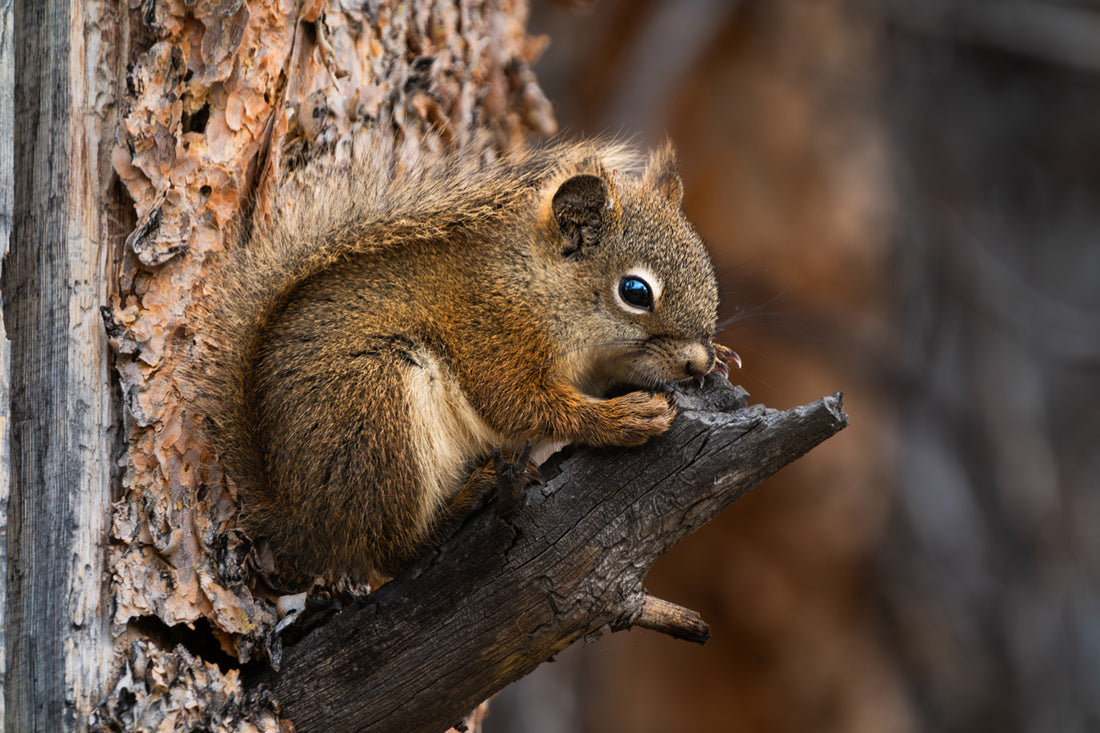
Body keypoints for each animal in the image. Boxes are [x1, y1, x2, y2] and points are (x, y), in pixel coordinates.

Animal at [196, 138, 736, 588]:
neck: (535, 283)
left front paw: (721, 360)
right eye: (635, 292)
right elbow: (518, 405)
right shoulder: (492, 334)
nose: (696, 362)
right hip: (376, 409)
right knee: (392, 551)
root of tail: (300, 520)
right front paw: (625, 418)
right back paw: (463, 502)